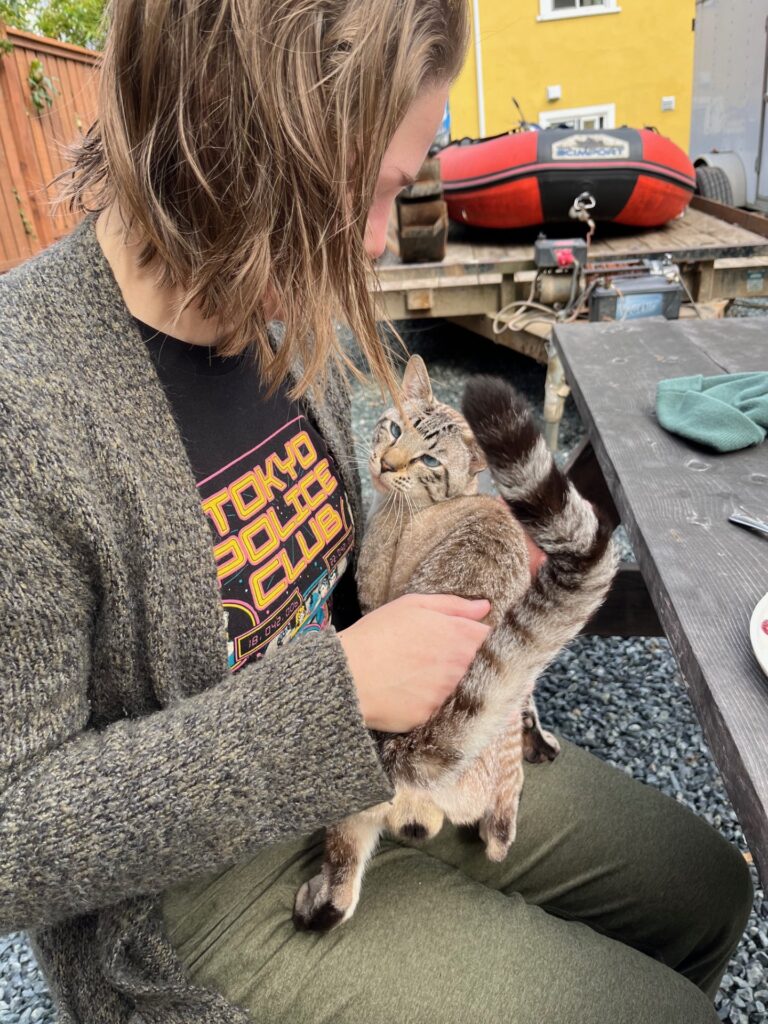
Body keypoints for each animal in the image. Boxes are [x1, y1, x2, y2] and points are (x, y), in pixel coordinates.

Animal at [294, 356, 618, 933]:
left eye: (427, 459)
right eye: (394, 428)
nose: (386, 463)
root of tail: (415, 746)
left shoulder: (374, 595)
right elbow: (526, 702)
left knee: (348, 852)